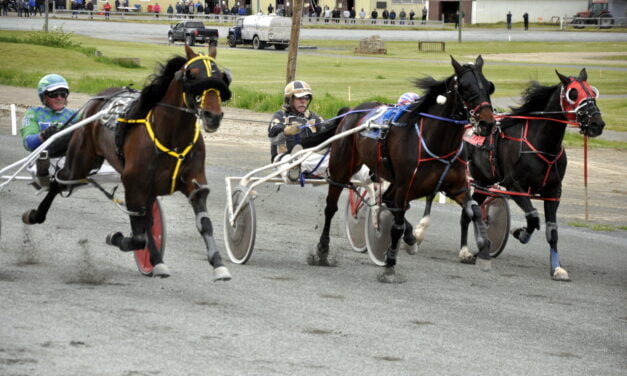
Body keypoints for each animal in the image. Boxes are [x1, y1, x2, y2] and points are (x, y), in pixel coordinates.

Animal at [22, 45, 234, 282]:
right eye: (193, 75)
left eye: (220, 76)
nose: (213, 116)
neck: (171, 135)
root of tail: (99, 98)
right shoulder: (134, 184)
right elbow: (139, 236)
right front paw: (116, 237)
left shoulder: (192, 183)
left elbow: (203, 223)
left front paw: (218, 265)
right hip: (80, 161)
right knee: (58, 182)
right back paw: (35, 214)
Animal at [316, 55, 498, 282]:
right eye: (464, 86)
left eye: (489, 86)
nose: (487, 123)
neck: (437, 142)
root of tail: (351, 111)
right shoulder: (405, 184)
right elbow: (397, 226)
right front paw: (390, 266)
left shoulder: (456, 187)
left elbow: (474, 211)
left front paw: (483, 251)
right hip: (342, 167)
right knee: (331, 207)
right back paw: (322, 251)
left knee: (388, 200)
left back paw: (410, 239)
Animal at [462, 67, 608, 280]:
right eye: (573, 94)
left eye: (592, 92)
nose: (597, 124)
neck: (542, 144)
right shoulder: (515, 186)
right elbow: (533, 218)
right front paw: (520, 233)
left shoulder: (554, 192)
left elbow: (552, 231)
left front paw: (557, 268)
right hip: (478, 178)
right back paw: (467, 251)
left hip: (483, 183)